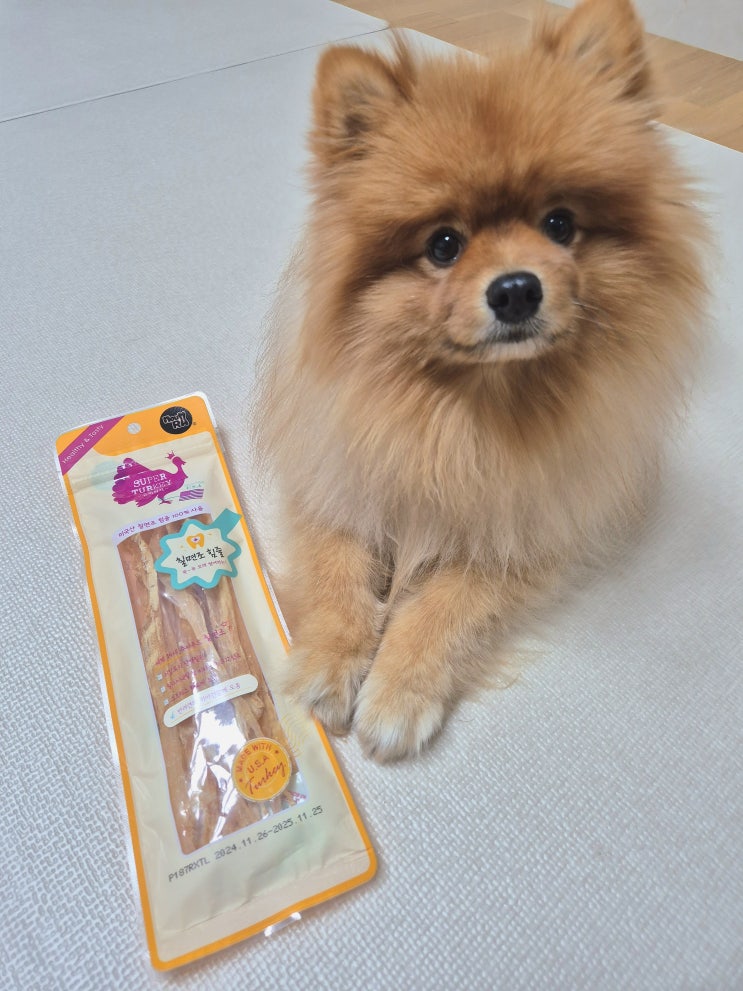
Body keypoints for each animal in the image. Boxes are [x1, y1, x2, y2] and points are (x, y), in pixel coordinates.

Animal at [254, 0, 708, 761]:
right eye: (443, 245)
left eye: (560, 224)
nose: (516, 289)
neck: (465, 406)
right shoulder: (337, 471)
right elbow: (337, 569)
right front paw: (328, 660)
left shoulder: (527, 526)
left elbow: (447, 604)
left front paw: (398, 690)